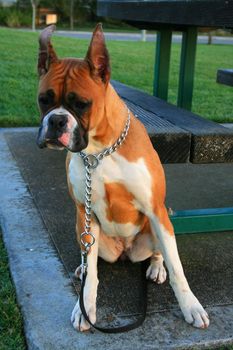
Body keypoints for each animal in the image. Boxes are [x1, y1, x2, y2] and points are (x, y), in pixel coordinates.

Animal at [36, 23, 209, 330]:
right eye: (43, 100)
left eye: (82, 104)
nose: (56, 121)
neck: (99, 151)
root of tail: (125, 251)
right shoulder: (86, 212)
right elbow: (93, 276)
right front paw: (85, 307)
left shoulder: (155, 209)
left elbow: (177, 268)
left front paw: (190, 305)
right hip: (83, 228)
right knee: (91, 259)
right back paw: (82, 266)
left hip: (161, 222)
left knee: (161, 252)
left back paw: (156, 267)